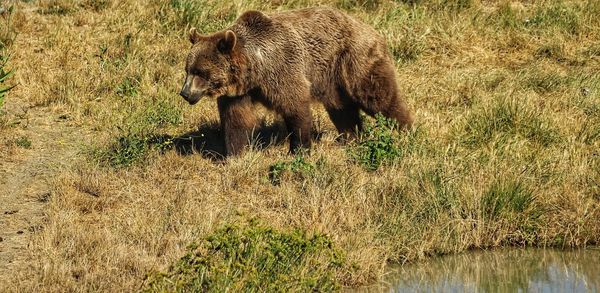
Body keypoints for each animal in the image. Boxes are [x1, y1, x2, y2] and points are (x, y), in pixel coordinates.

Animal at [179, 6, 412, 155]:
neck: (254, 69)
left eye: (201, 72)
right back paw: (351, 137)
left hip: (355, 60)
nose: (185, 93)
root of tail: (370, 29)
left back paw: (405, 130)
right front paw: (234, 154)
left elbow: (295, 108)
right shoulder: (239, 92)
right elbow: (236, 119)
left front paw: (298, 149)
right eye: (188, 70)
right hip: (334, 81)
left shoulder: (283, 71)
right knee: (342, 109)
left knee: (379, 97)